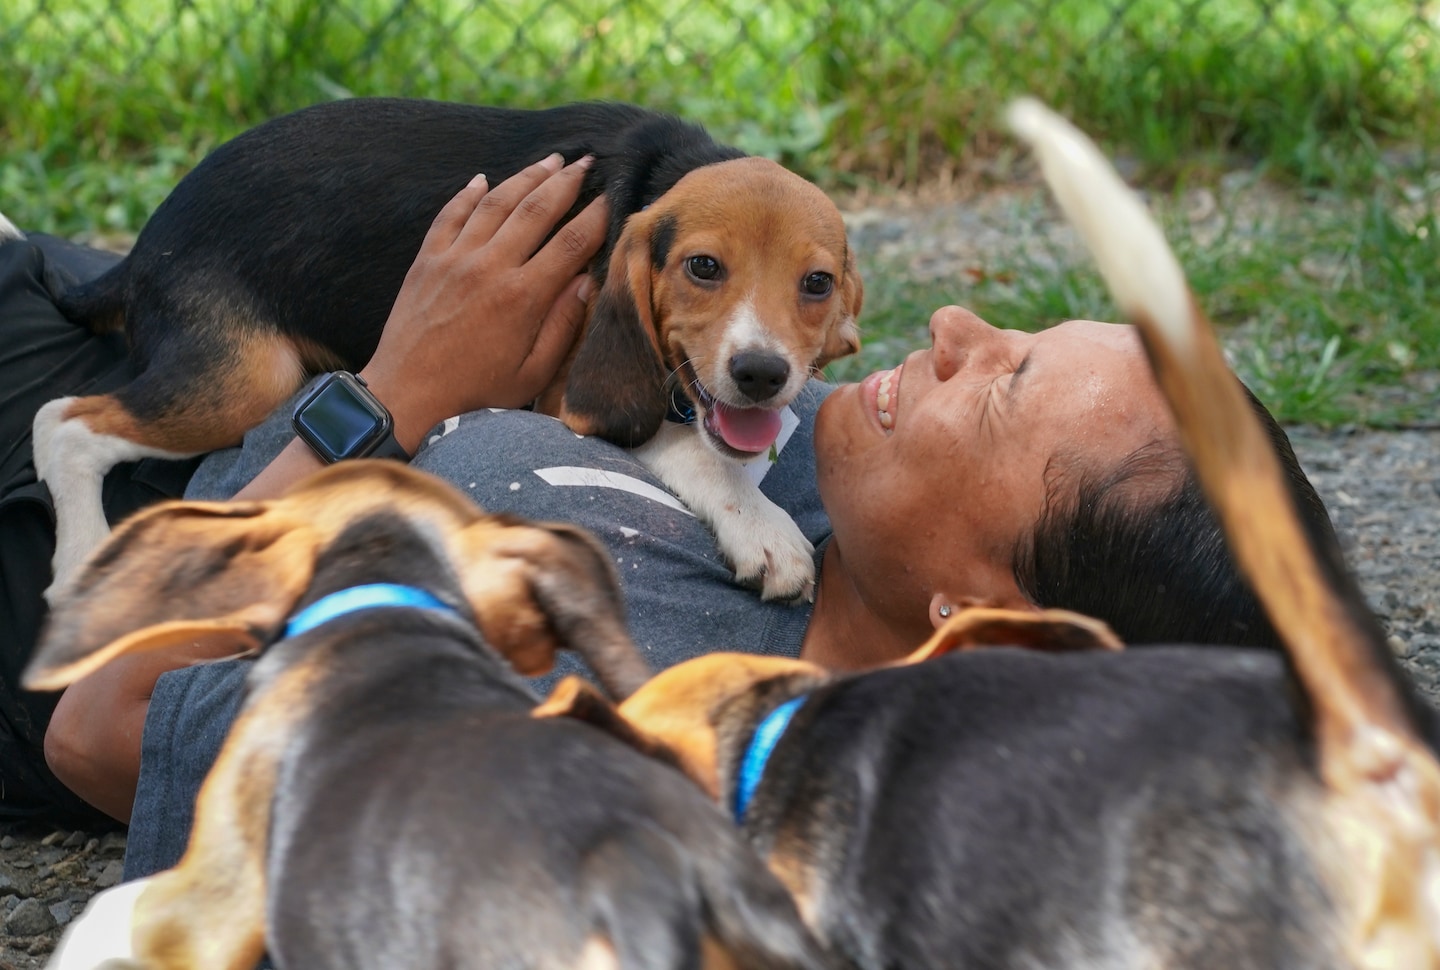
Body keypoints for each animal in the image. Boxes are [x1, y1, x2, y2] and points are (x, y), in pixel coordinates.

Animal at [30, 94, 864, 601]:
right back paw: (81, 562)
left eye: (817, 284)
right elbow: (691, 448)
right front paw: (760, 527)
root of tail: (144, 247)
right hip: (248, 377)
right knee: (62, 421)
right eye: (703, 268)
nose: (761, 374)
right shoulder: (567, 393)